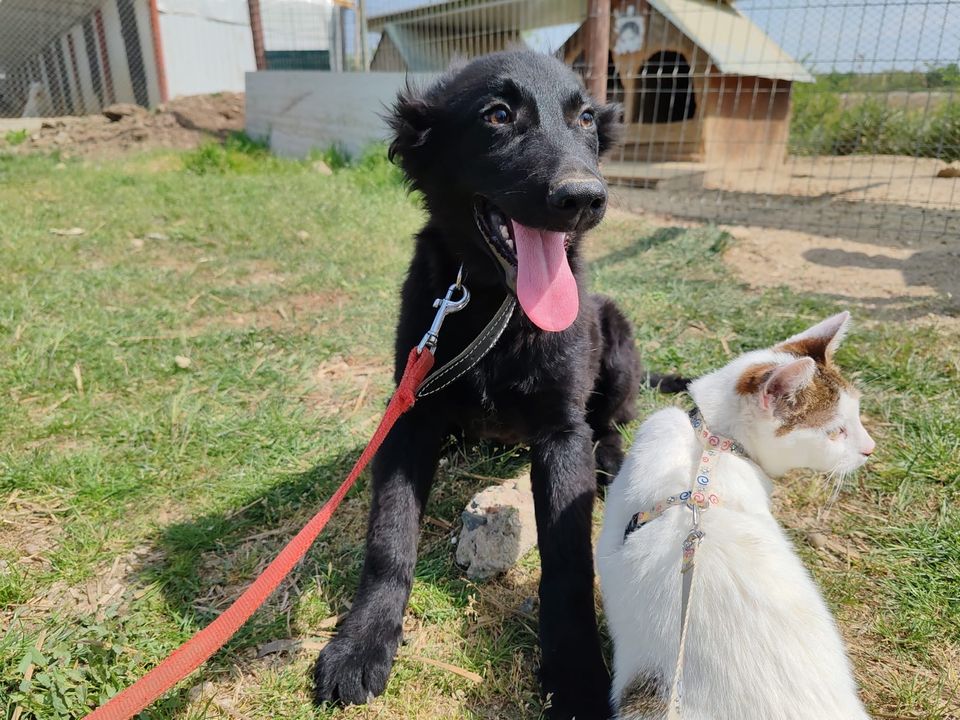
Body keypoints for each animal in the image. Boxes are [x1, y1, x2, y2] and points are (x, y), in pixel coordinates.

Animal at [312, 50, 672, 720]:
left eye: (585, 117)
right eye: (498, 115)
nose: (585, 197)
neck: (494, 305)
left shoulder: (560, 433)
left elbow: (568, 562)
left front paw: (577, 673)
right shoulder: (409, 416)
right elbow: (388, 537)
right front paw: (362, 642)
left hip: (614, 335)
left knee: (614, 417)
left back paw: (612, 454)